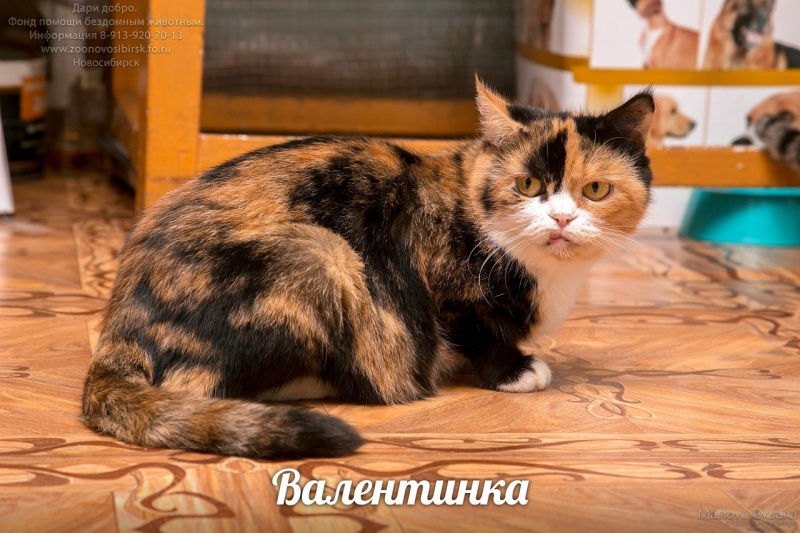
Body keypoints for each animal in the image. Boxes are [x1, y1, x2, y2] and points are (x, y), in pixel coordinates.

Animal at [82, 78, 654, 459]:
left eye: (595, 190)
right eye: (528, 185)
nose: (561, 218)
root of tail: (117, 331)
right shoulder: (445, 288)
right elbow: (482, 329)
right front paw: (516, 371)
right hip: (321, 253)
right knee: (204, 386)